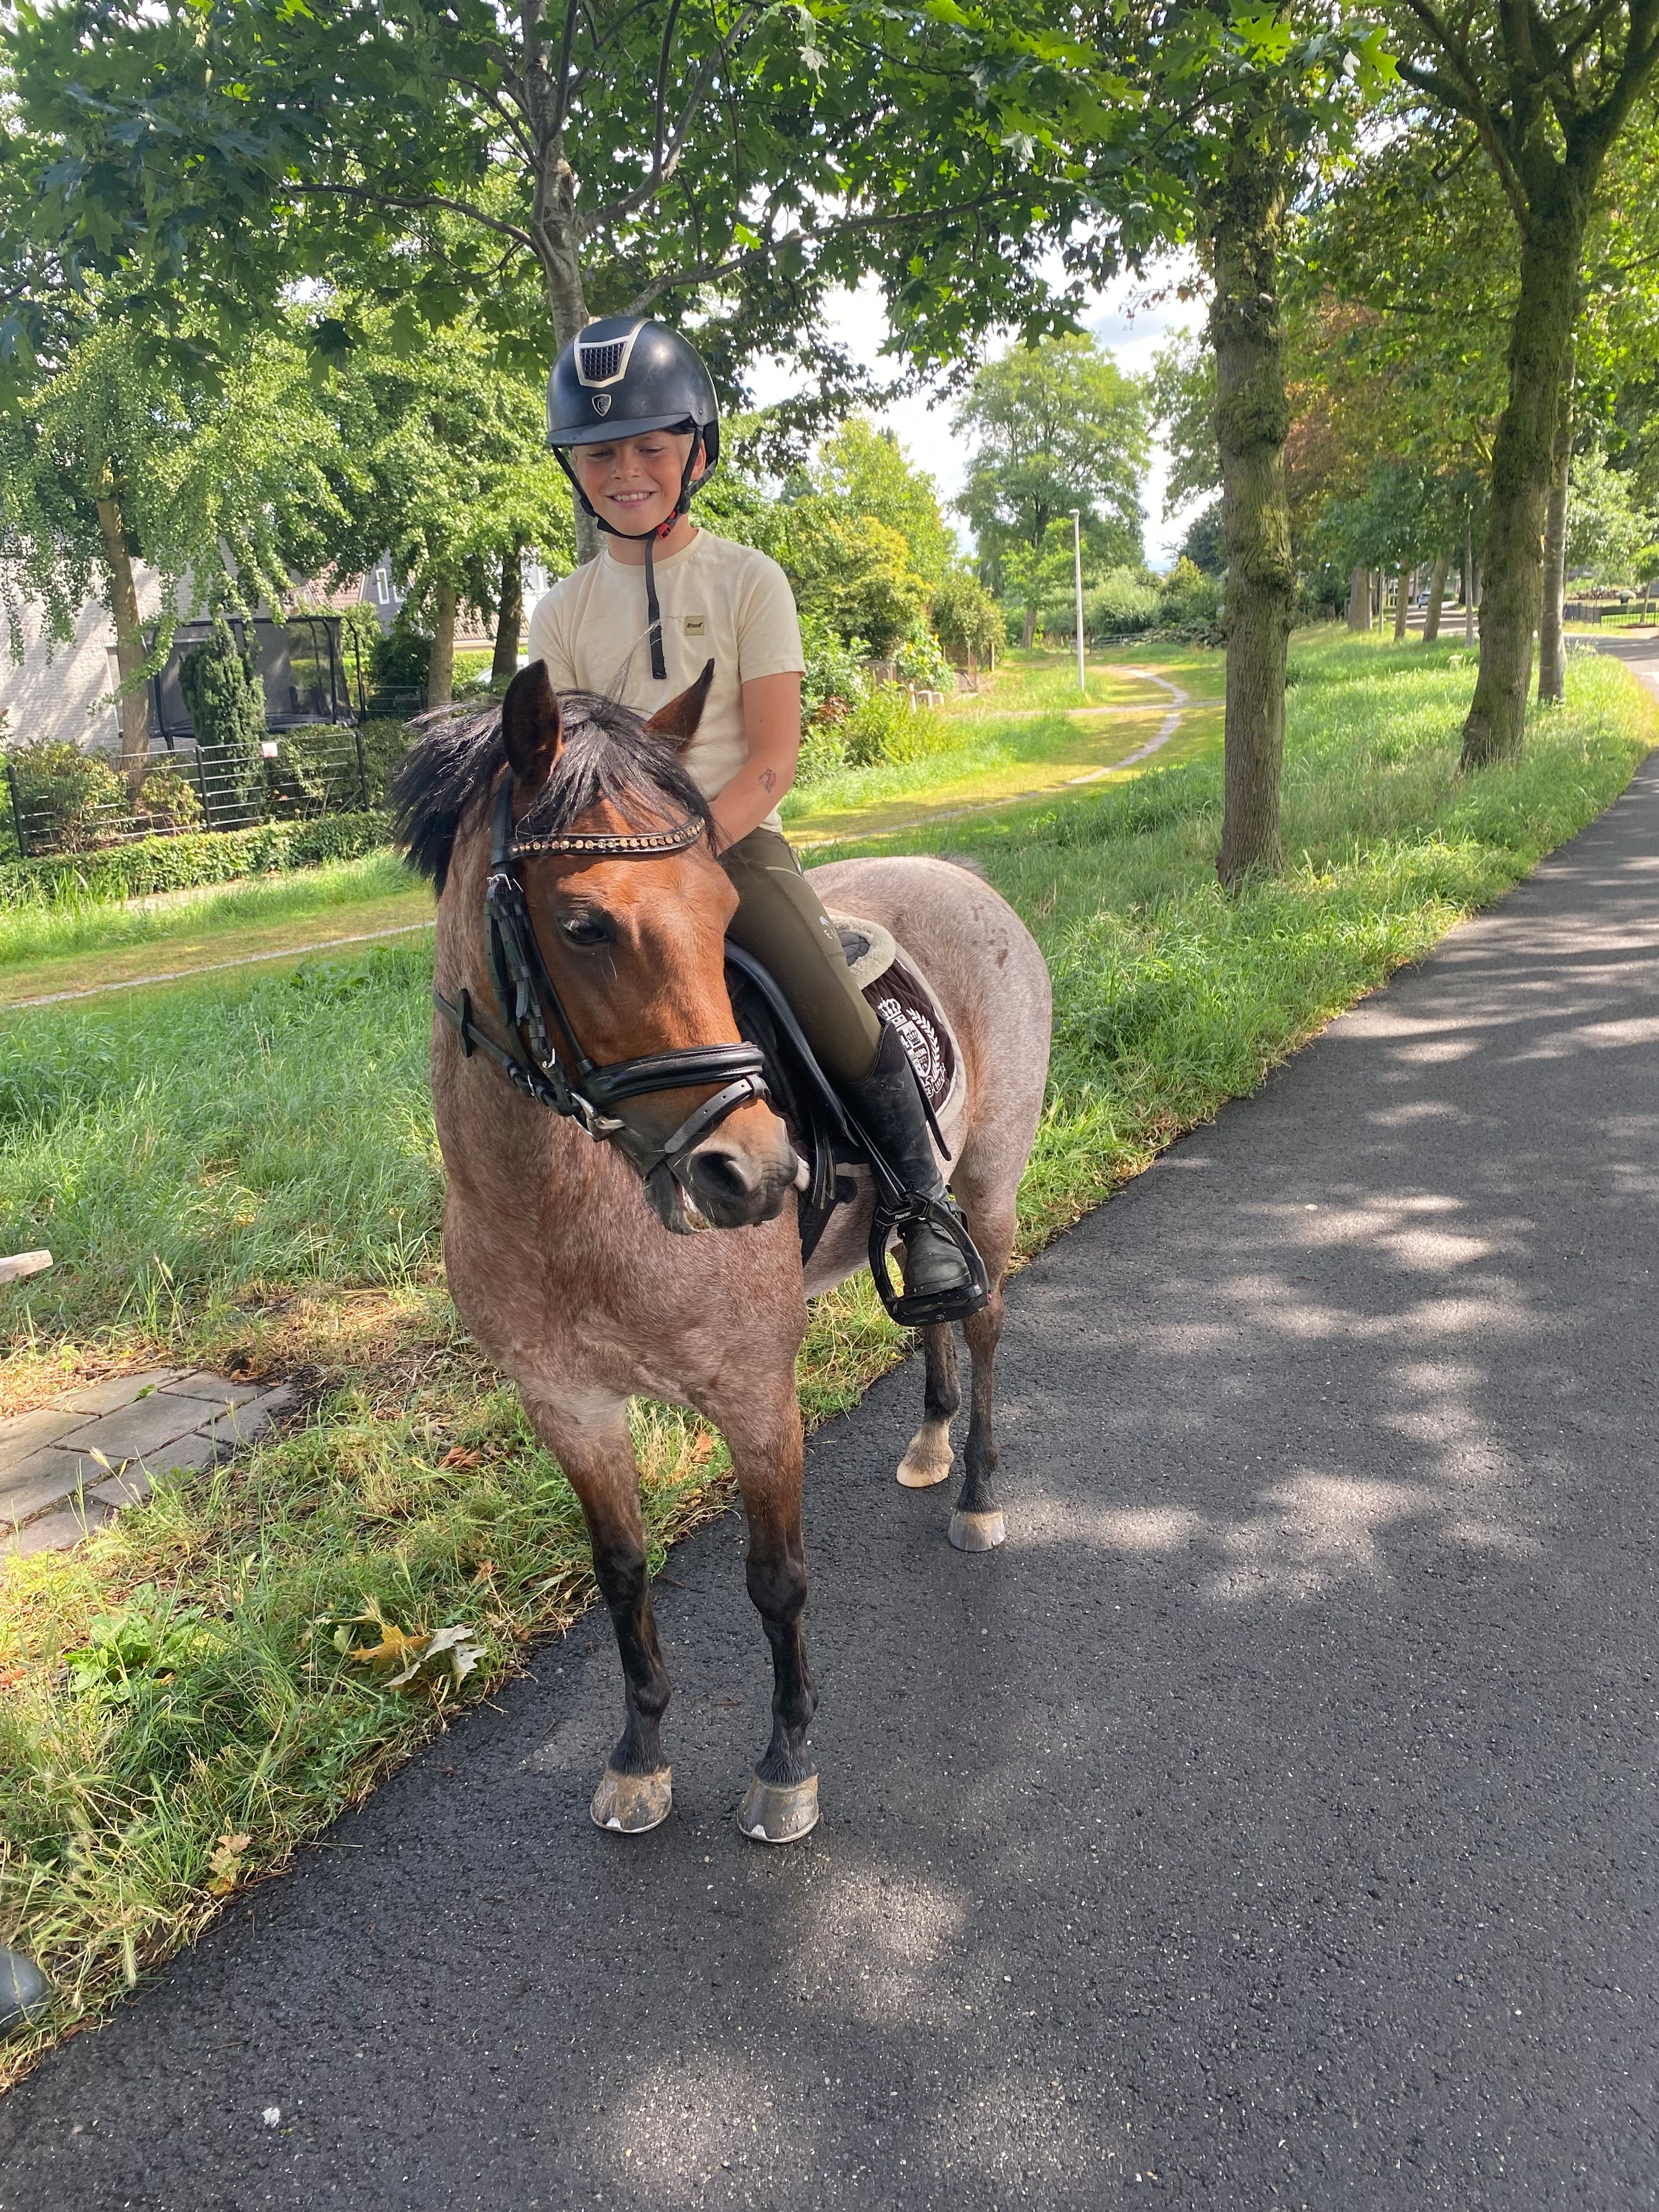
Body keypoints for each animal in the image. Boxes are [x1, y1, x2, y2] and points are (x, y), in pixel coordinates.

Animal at [393, 660, 1051, 1845]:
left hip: (990, 1187)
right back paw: (931, 1444)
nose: (754, 1172)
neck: (564, 1212)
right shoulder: (568, 1408)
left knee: (980, 1323)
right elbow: (620, 1573)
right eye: (584, 924)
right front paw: (639, 1755)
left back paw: (977, 1490)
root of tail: (959, 876)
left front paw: (787, 1762)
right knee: (933, 1311)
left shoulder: (755, 1396)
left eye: (722, 909)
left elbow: (776, 1580)